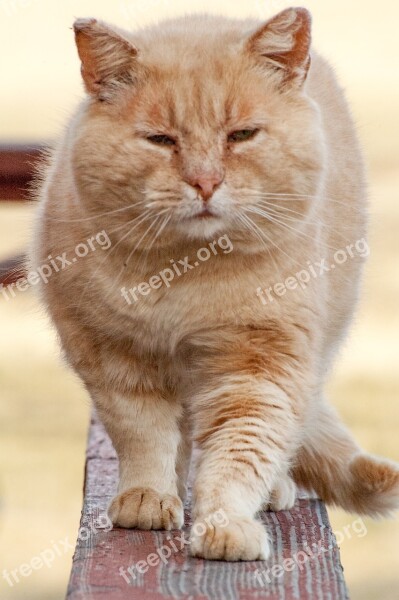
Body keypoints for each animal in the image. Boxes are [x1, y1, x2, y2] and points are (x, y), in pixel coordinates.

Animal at [31, 8, 399, 564]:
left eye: (241, 135)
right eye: (161, 140)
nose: (205, 182)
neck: (187, 272)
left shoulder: (260, 367)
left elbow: (241, 451)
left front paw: (226, 523)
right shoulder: (112, 356)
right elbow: (145, 435)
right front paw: (148, 496)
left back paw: (273, 490)